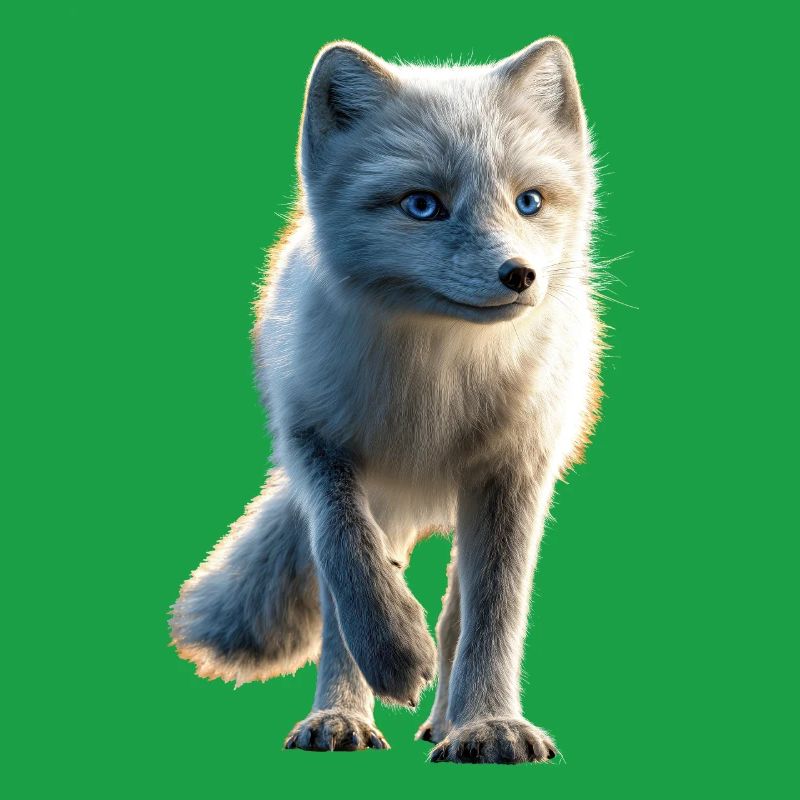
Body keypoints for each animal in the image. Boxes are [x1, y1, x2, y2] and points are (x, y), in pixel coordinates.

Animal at [170, 37, 603, 764]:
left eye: (529, 202)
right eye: (422, 206)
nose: (520, 275)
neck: (434, 385)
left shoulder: (515, 469)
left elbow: (495, 611)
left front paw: (491, 726)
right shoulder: (317, 446)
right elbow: (349, 565)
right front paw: (388, 662)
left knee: (459, 609)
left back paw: (450, 722)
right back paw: (353, 713)